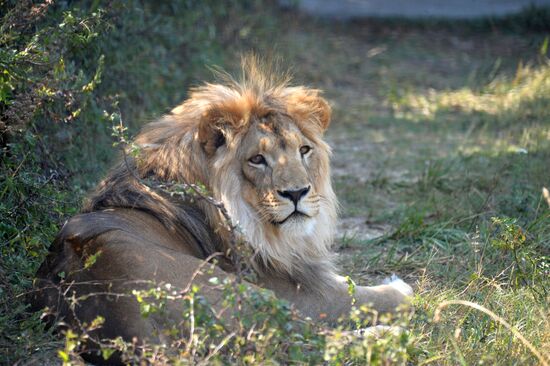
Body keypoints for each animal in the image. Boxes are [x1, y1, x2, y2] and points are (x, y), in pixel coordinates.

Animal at [29, 58, 410, 364]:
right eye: (257, 159)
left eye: (304, 150)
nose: (297, 193)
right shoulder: (303, 293)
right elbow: (359, 296)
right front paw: (399, 288)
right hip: (248, 294)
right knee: (304, 341)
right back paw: (387, 335)